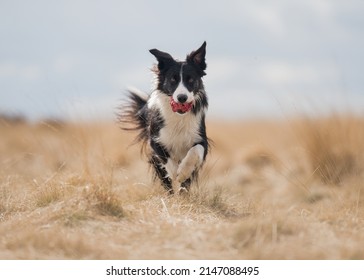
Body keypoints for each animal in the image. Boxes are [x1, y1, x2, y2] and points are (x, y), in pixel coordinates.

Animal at [120, 42, 209, 195]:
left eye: (191, 80)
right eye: (172, 79)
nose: (182, 98)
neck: (179, 116)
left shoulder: (201, 139)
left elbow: (195, 151)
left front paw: (183, 172)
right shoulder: (155, 139)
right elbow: (166, 159)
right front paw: (175, 172)